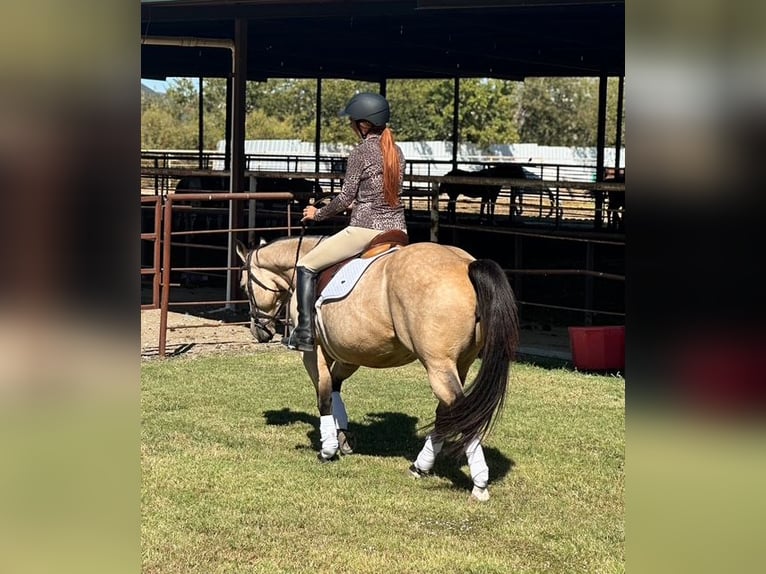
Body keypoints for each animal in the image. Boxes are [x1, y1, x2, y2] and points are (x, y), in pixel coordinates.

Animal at [235, 235, 519, 501]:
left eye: (242, 286)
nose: (258, 332)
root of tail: (465, 265)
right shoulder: (350, 354)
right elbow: (335, 389)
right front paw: (343, 436)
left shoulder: (313, 353)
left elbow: (324, 395)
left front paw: (328, 448)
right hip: (459, 364)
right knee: (449, 412)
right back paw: (420, 466)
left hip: (438, 365)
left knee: (462, 412)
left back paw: (479, 484)